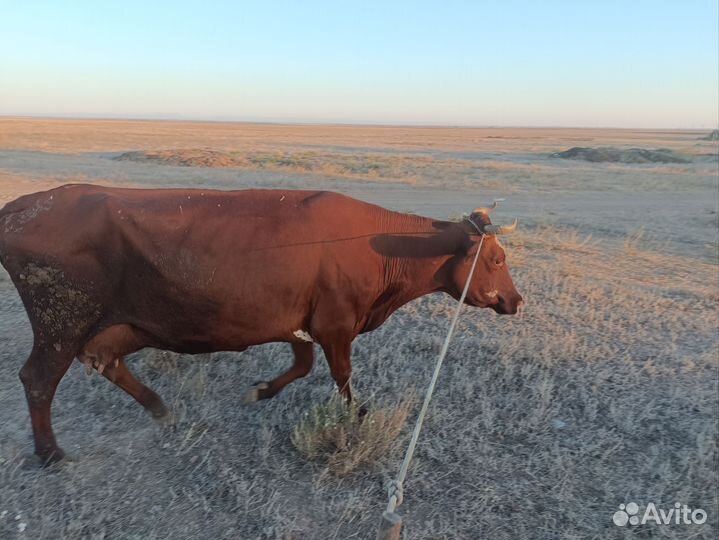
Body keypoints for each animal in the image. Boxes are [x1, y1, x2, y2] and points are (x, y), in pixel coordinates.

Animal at [0, 185, 522, 465]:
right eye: (496, 259)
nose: (516, 301)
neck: (382, 249)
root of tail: (25, 206)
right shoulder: (336, 325)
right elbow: (341, 377)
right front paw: (356, 416)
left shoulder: (300, 324)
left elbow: (302, 367)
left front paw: (260, 391)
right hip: (60, 324)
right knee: (38, 379)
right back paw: (51, 454)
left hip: (118, 324)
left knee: (105, 360)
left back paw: (159, 409)